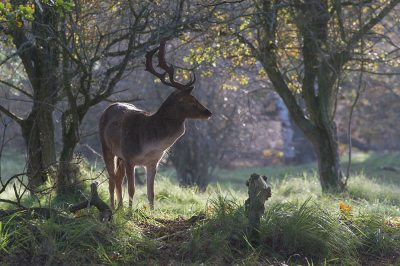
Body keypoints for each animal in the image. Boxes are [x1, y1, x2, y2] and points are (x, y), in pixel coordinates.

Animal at [99, 39, 212, 210]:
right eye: (192, 100)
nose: (208, 112)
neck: (150, 143)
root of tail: (106, 108)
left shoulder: (153, 163)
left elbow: (151, 193)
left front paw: (151, 212)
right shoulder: (130, 157)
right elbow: (132, 189)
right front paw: (130, 213)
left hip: (120, 157)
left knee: (118, 179)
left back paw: (120, 207)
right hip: (106, 146)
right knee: (111, 179)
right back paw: (113, 208)